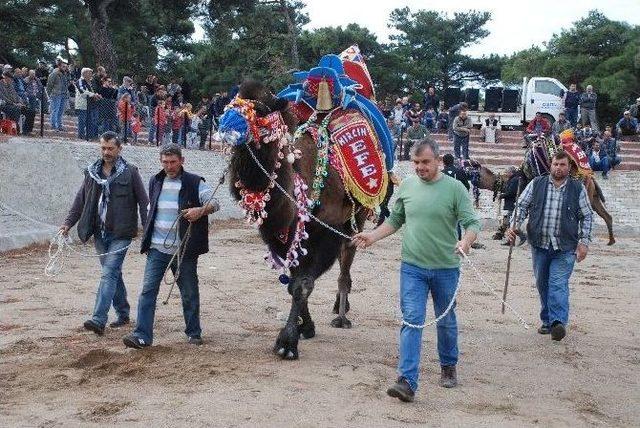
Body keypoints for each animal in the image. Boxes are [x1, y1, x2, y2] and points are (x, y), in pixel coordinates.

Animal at [216, 48, 396, 360]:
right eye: (232, 101)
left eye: (259, 109)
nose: (226, 124)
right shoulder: (279, 232)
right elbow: (293, 283)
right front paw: (304, 327)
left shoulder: (325, 229)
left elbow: (303, 284)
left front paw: (287, 341)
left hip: (356, 216)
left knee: (347, 258)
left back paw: (342, 315)